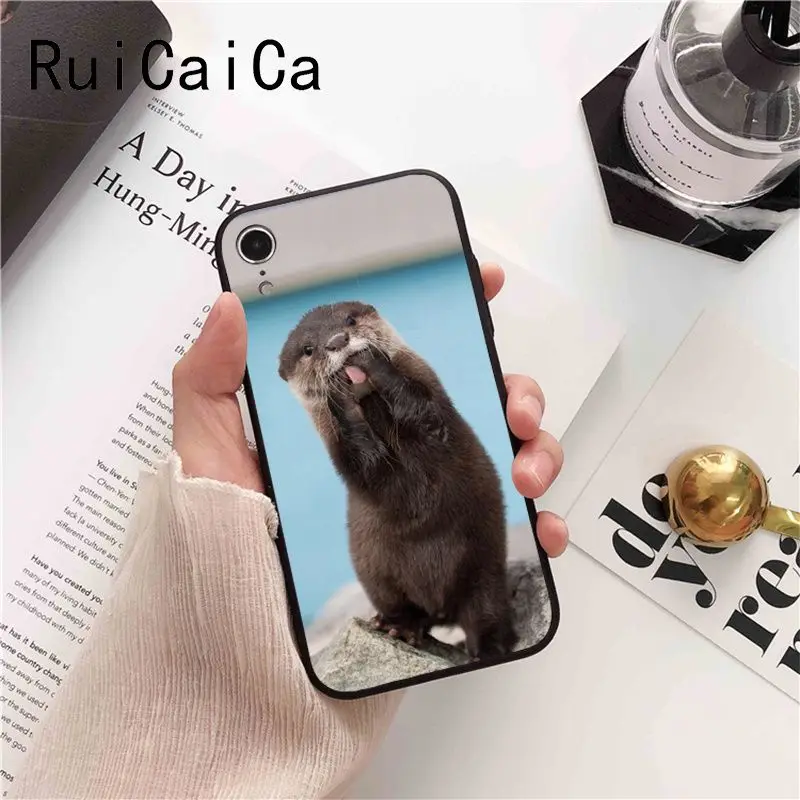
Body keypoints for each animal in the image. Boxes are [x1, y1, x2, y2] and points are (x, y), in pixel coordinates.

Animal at [278, 300, 517, 660]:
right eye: (308, 349)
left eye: (350, 320)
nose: (337, 341)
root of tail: (440, 608)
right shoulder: (344, 453)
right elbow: (365, 461)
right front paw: (340, 396)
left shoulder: (429, 398)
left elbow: (424, 411)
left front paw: (370, 361)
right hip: (381, 581)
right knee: (406, 608)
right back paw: (400, 627)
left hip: (484, 570)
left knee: (485, 613)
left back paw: (489, 648)